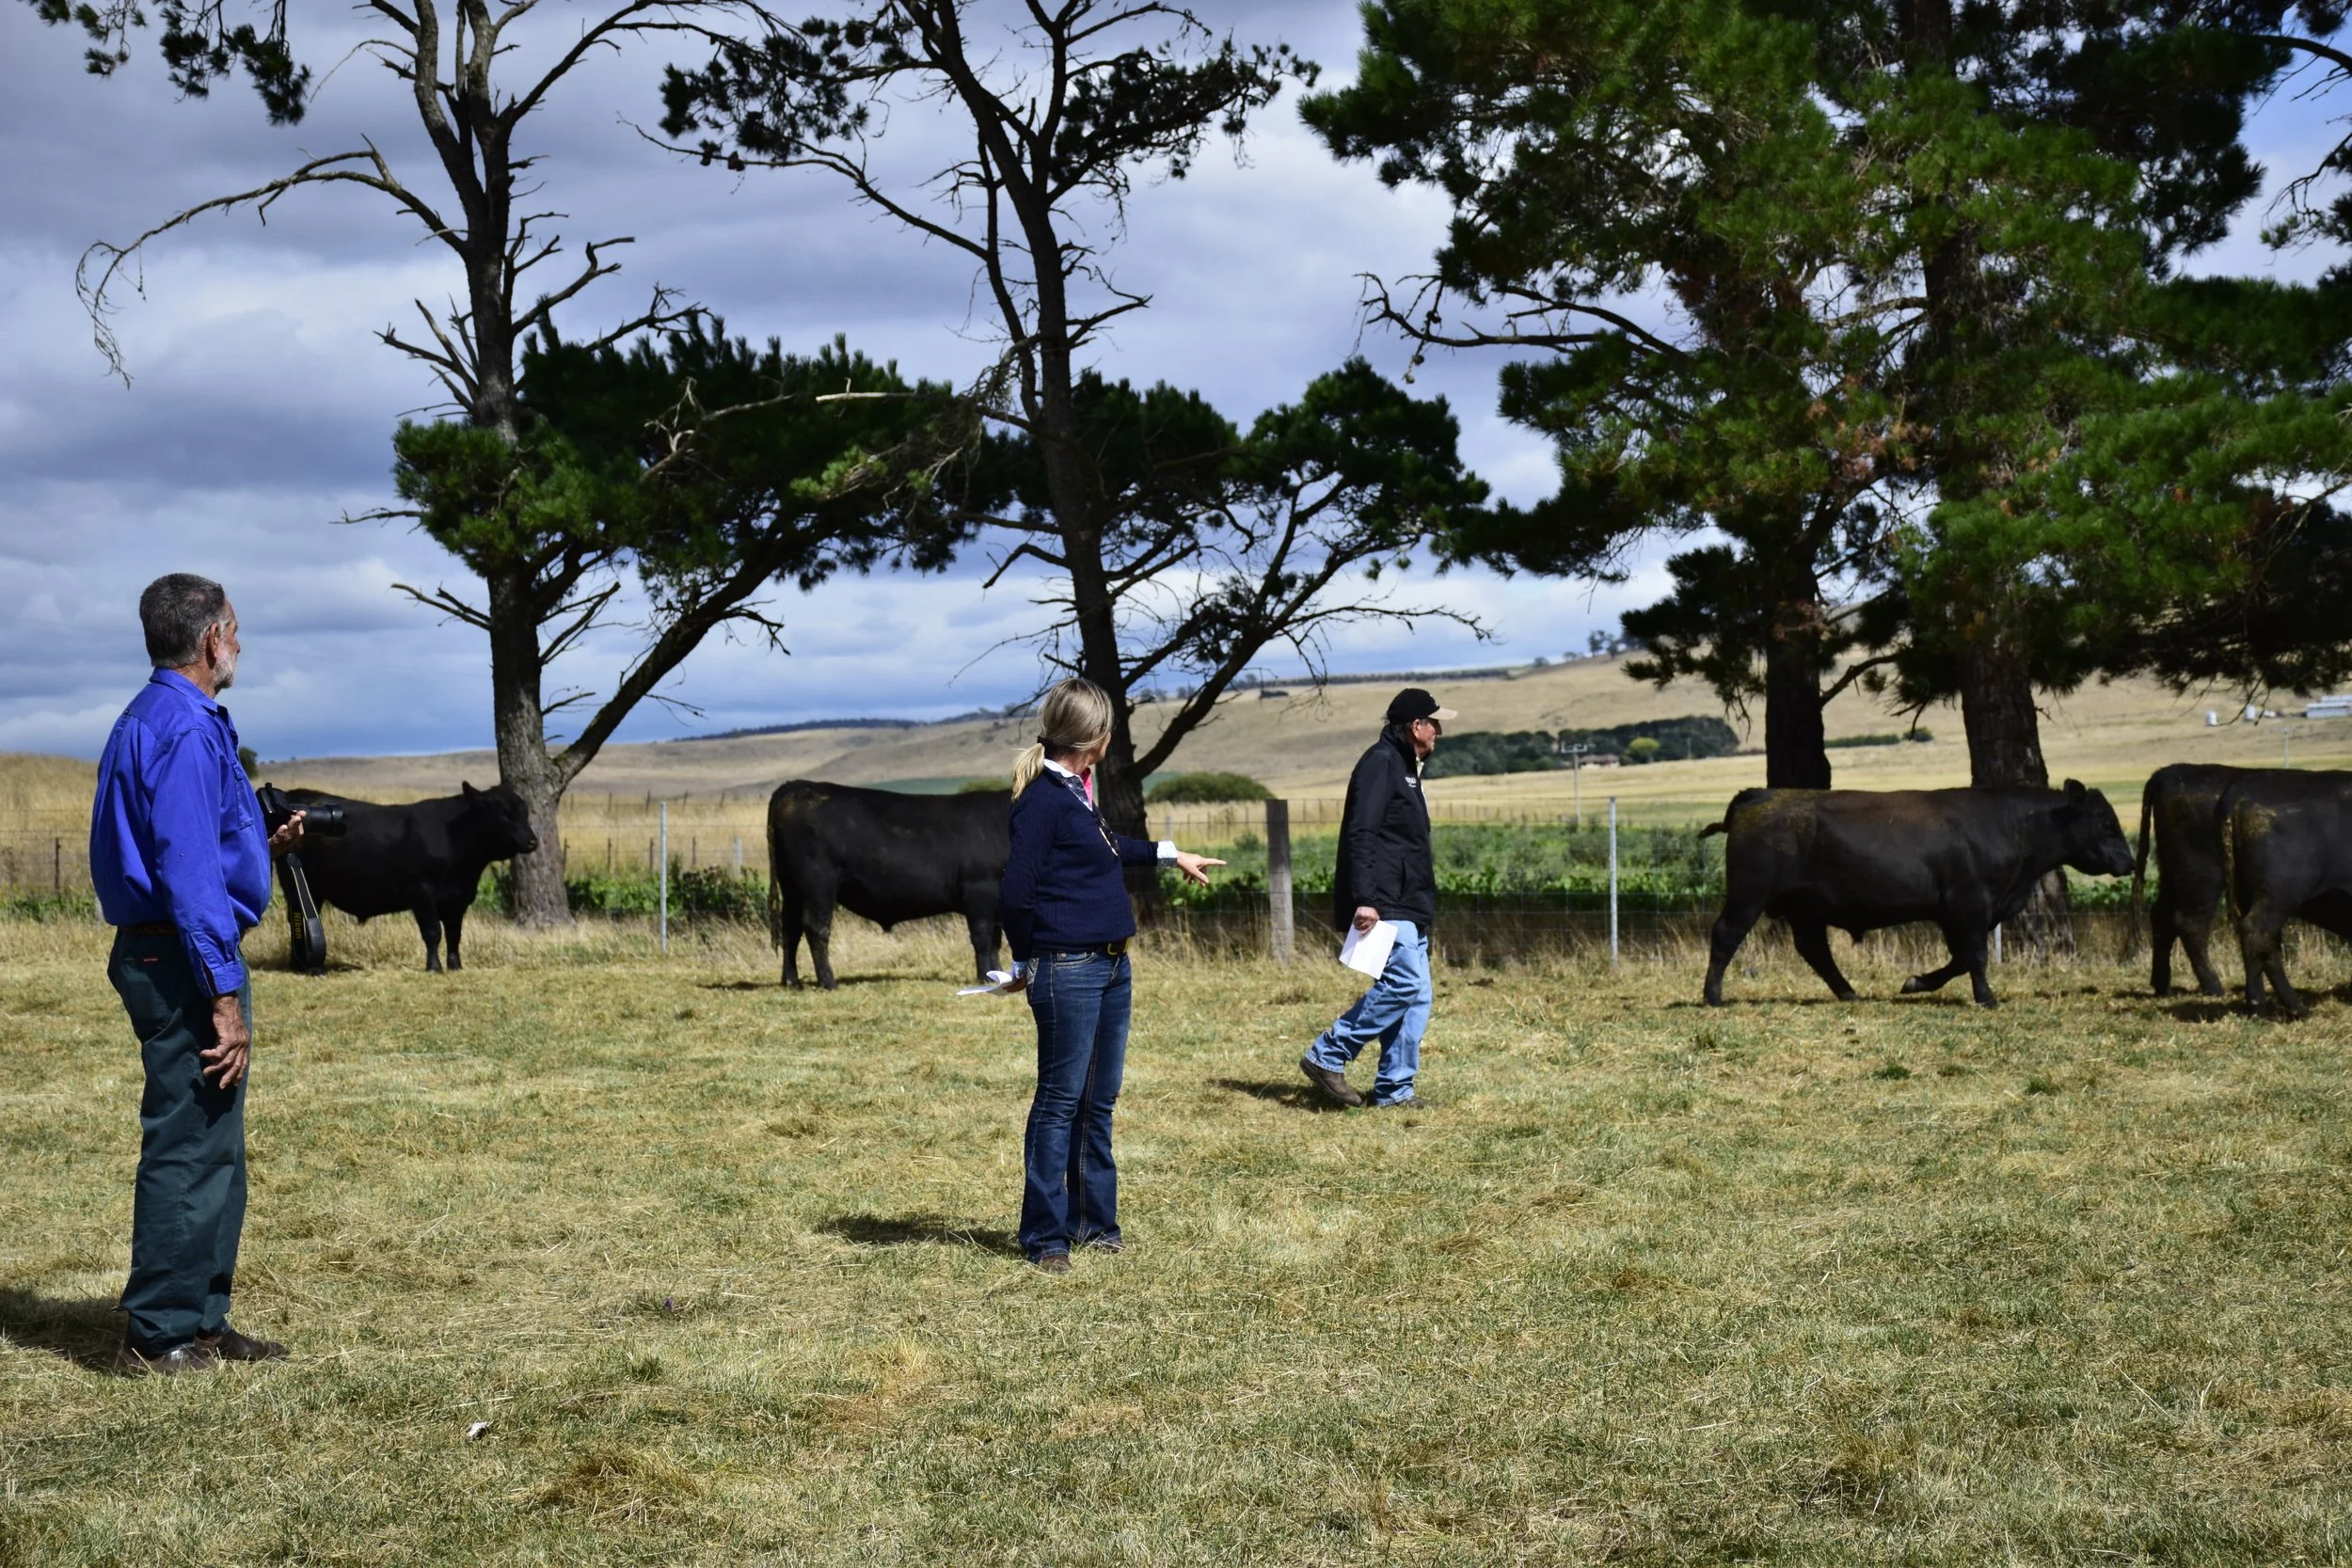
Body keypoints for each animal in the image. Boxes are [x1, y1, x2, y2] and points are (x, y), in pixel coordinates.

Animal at [281, 783, 539, 972]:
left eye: (525, 812)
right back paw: (304, 965)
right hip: (299, 885)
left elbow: (454, 934)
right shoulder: (420, 892)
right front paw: (434, 967)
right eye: (504, 815)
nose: (532, 841)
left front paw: (455, 966)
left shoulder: (459, 899)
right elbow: (433, 931)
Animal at [767, 780, 1010, 989]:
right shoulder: (979, 890)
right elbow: (982, 936)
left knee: (790, 930)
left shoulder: (997, 903)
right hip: (818, 885)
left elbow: (995, 940)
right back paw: (828, 982)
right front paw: (984, 977)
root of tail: (794, 786)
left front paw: (998, 975)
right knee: (816, 928)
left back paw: (791, 981)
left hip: (792, 888)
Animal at [1700, 782, 2136, 1008]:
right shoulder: (1970, 903)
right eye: (2107, 822)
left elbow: (1960, 958)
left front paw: (1917, 982)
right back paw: (1713, 996)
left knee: (1814, 949)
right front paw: (1986, 998)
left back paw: (1848, 993)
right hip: (1749, 895)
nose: (2131, 862)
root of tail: (1762, 794)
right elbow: (1975, 956)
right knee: (1725, 935)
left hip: (1804, 907)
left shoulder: (1957, 913)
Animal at [2128, 763, 2283, 996]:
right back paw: (2213, 986)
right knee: (2190, 923)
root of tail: (2167, 772)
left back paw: (2162, 986)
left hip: (2173, 871)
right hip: (2203, 876)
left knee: (2162, 915)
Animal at [2218, 769, 2352, 1017]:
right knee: (2258, 934)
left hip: (2250, 895)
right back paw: (2286, 1007)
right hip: (2279, 896)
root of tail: (2241, 786)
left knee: (2263, 943)